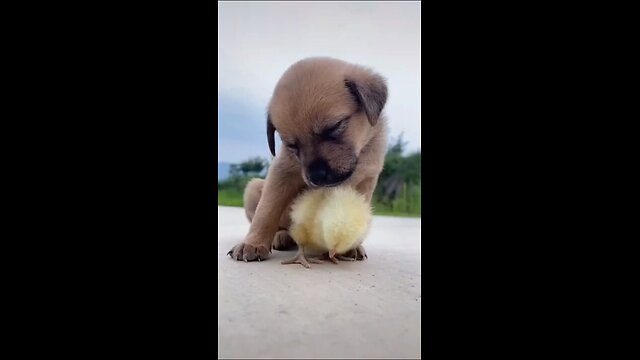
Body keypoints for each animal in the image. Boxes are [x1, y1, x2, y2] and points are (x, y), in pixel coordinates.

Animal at [230, 56, 390, 262]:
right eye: (292, 146)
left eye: (334, 127)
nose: (316, 176)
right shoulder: (281, 173)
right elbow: (266, 212)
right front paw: (253, 244)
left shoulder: (365, 183)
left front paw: (350, 245)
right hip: (253, 188)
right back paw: (280, 236)